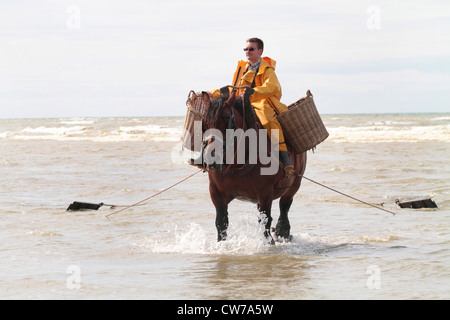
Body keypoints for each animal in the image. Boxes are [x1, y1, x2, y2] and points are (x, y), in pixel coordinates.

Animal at [200, 86, 306, 244]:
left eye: (225, 120)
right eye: (204, 123)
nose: (210, 157)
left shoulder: (265, 193)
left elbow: (265, 221)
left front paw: (270, 242)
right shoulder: (215, 191)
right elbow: (221, 222)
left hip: (294, 184)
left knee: (285, 205)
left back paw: (283, 231)